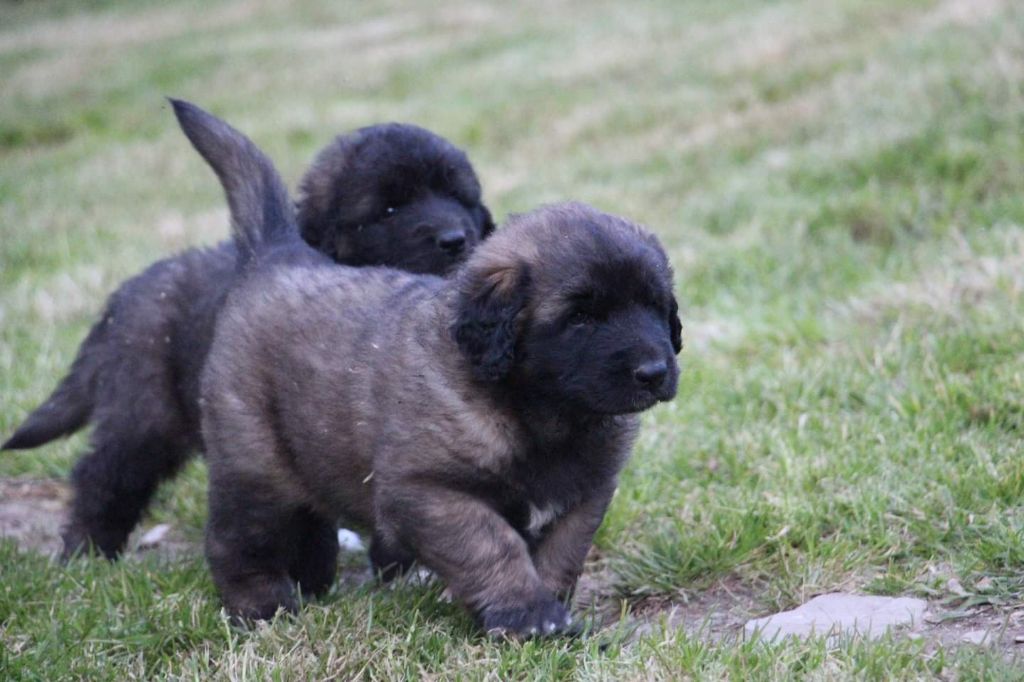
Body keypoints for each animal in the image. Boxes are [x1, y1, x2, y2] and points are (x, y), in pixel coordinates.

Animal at [2, 114, 493, 557]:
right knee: (105, 472)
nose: (455, 238)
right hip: (144, 410)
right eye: (389, 209)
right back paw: (87, 549)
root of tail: (129, 290)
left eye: (458, 196)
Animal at [176, 100, 684, 638]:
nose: (654, 371)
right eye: (581, 317)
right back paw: (261, 606)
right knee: (238, 541)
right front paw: (528, 615)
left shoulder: (585, 496)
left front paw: (551, 611)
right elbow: (492, 546)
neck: (544, 415)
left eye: (655, 306)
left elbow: (561, 554)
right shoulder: (427, 491)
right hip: (253, 461)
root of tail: (278, 256)